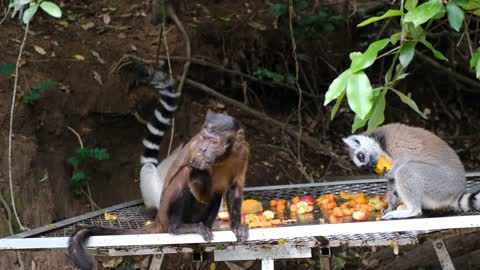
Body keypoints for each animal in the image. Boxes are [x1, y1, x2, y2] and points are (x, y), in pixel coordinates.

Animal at [68, 109, 251, 270]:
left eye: (213, 141)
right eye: (204, 138)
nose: (203, 149)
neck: (223, 157)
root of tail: (159, 219)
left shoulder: (243, 150)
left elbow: (234, 188)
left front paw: (236, 225)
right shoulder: (194, 147)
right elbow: (199, 187)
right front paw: (202, 167)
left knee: (215, 194)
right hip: (166, 212)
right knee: (185, 174)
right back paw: (178, 227)